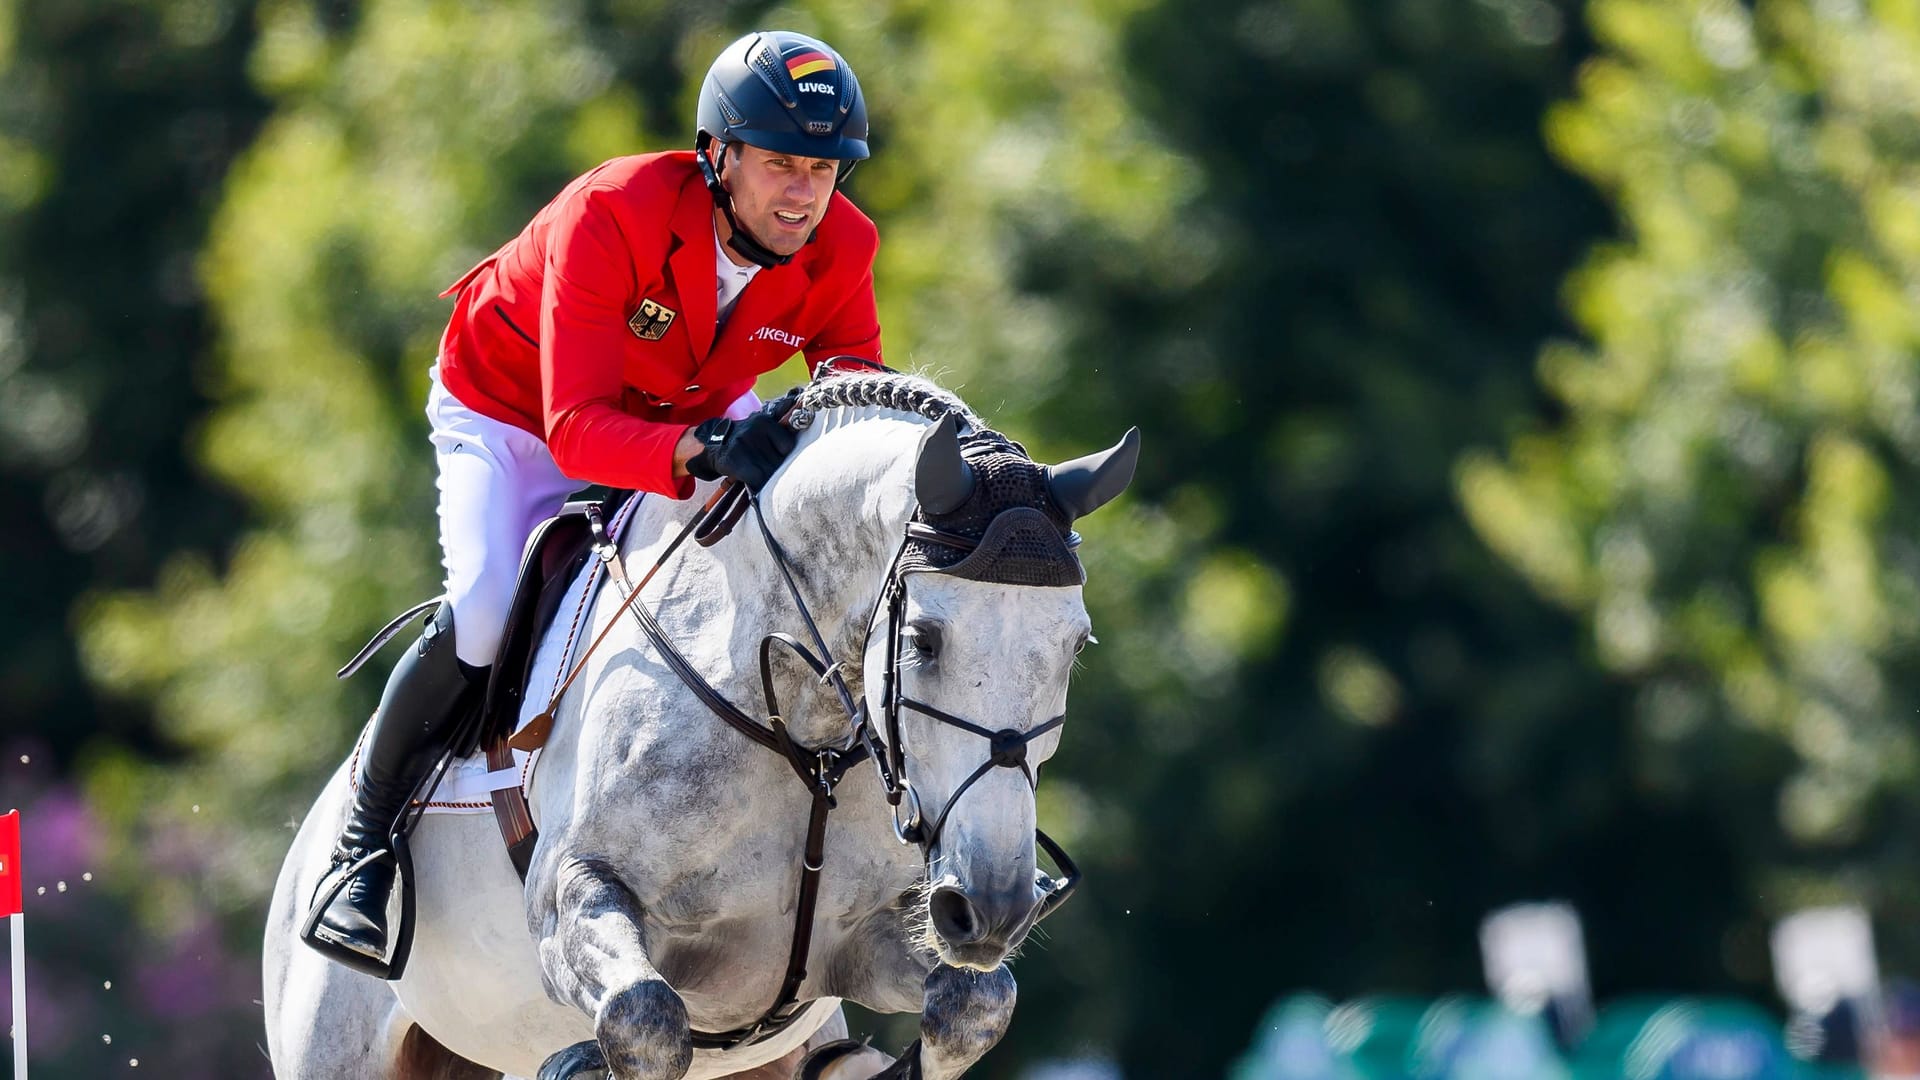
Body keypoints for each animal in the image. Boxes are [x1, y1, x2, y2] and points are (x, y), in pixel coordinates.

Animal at [263, 372, 1128, 1076]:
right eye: (922, 639)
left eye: (1076, 645)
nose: (996, 908)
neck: (796, 730)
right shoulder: (573, 902)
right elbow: (643, 1020)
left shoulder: (860, 947)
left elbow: (974, 1007)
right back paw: (357, 890)